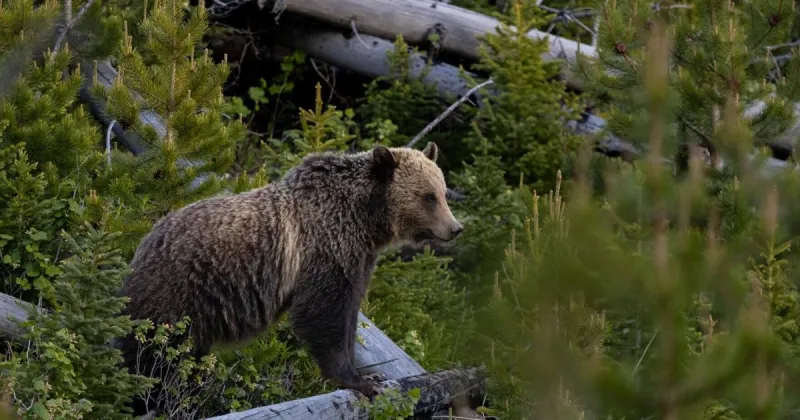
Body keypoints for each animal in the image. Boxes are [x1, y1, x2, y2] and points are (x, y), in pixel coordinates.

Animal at [116, 142, 463, 416]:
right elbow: (325, 312)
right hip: (176, 294)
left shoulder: (358, 258)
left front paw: (371, 376)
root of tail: (139, 248)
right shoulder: (326, 249)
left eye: (443, 191)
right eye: (428, 196)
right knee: (152, 356)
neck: (363, 220)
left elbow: (349, 312)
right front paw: (361, 380)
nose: (455, 228)